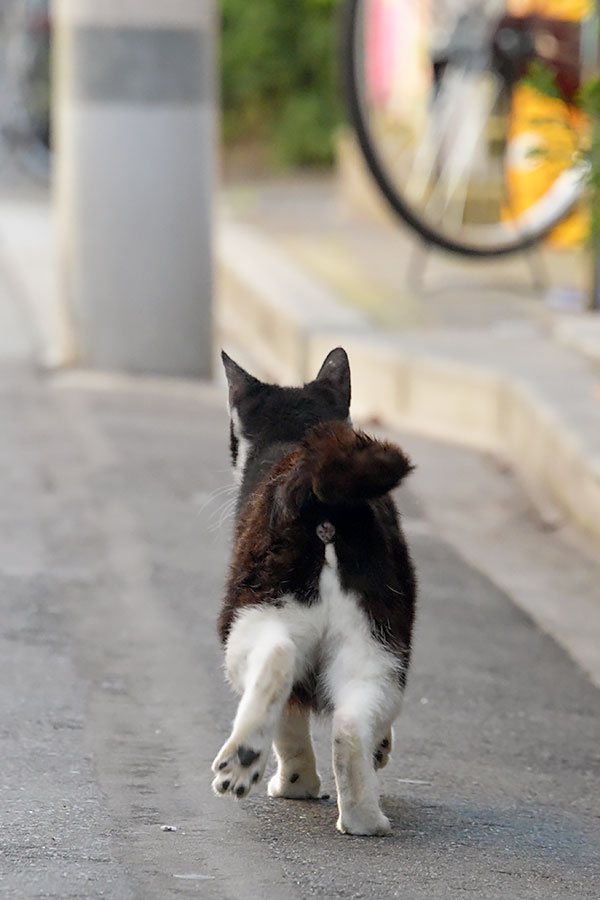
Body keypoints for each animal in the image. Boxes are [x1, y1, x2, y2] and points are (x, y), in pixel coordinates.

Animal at [212, 346, 418, 836]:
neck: (297, 433)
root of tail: (323, 498)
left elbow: (289, 721)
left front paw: (296, 783)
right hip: (379, 643)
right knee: (351, 724)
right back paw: (365, 819)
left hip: (249, 614)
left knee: (277, 660)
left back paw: (242, 761)